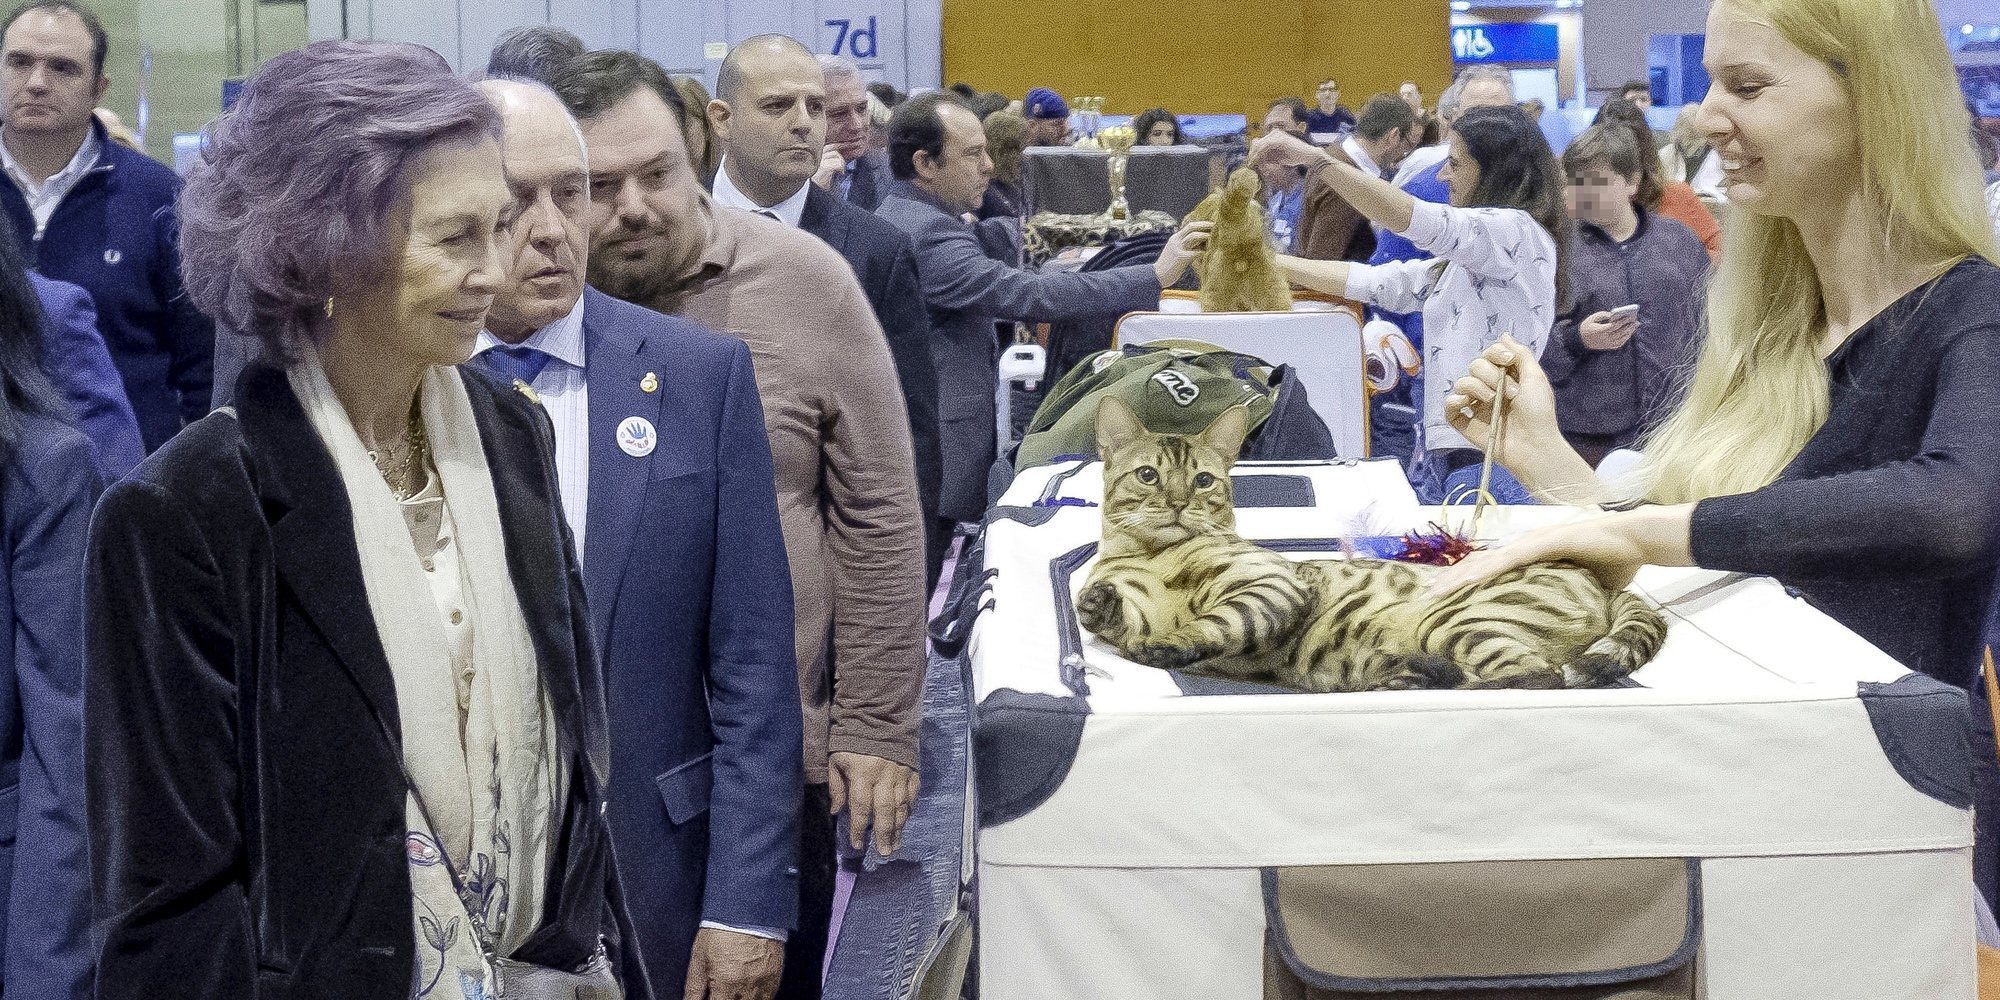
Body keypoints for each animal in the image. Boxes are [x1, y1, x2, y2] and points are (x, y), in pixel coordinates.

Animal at [1088, 398, 1664, 696]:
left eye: (1203, 480)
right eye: (1148, 476)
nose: (1179, 503)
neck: (1151, 555)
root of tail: (1596, 581)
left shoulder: (1272, 585)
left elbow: (1217, 623)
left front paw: (1169, 643)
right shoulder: (1135, 609)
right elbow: (1110, 614)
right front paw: (1099, 601)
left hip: (1457, 624)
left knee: (1531, 676)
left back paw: (1410, 677)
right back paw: (1405, 674)